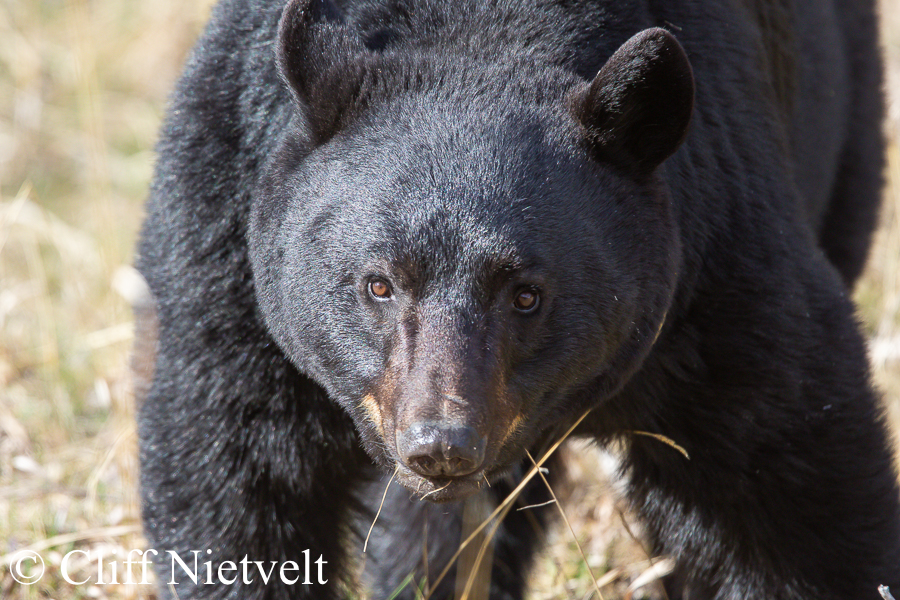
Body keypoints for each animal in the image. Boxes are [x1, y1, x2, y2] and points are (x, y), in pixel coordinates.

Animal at [136, 0, 900, 598]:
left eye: (526, 296)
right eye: (378, 284)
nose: (440, 445)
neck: (478, 32)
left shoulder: (718, 262)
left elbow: (783, 495)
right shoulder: (225, 232)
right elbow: (232, 472)